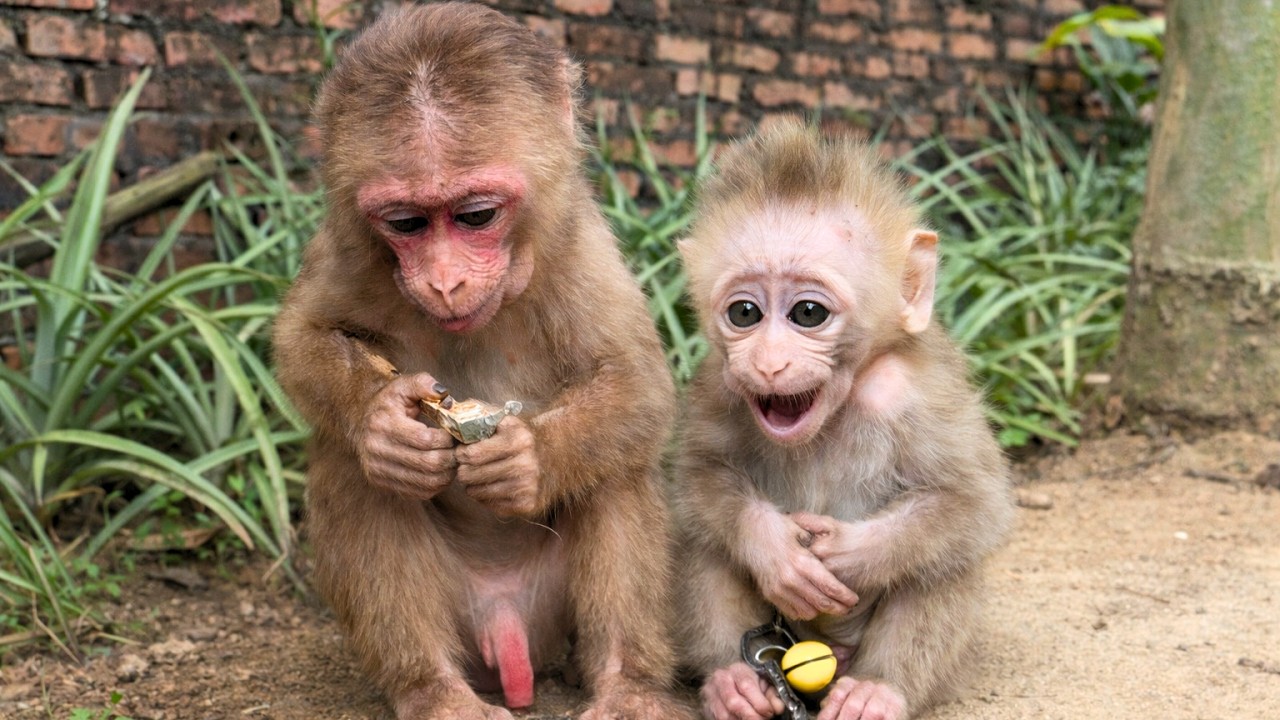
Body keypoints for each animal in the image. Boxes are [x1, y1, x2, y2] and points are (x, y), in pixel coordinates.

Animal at [271, 4, 693, 719]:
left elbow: (638, 384)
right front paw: (384, 423)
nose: (444, 283)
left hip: (552, 612)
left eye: (475, 215)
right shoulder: (347, 243)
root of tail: (508, 626)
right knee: (350, 465)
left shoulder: (578, 243)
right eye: (407, 223)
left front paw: (528, 460)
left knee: (617, 468)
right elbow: (303, 337)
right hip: (464, 616)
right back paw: (432, 688)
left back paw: (627, 684)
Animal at [671, 119, 1015, 720]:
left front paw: (850, 555)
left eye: (808, 313)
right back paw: (730, 680)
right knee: (706, 537)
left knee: (946, 558)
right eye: (745, 313)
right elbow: (699, 475)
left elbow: (972, 503)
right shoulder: (719, 381)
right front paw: (774, 547)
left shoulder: (909, 389)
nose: (768, 362)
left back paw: (880, 688)